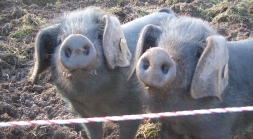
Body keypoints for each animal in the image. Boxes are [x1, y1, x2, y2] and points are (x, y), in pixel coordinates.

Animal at [29, 5, 176, 138]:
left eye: (99, 35)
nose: (76, 39)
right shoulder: (84, 113)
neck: (96, 100)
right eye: (60, 39)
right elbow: (94, 133)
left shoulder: (132, 109)